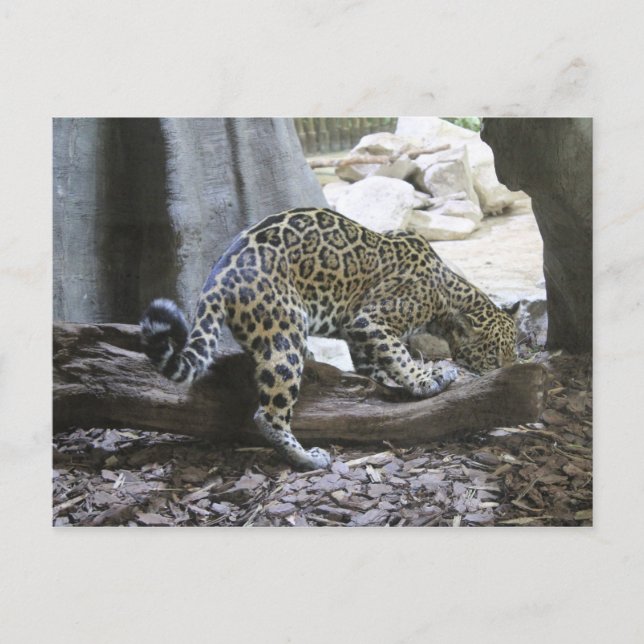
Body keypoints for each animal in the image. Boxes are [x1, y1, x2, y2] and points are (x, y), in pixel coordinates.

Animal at [141, 207, 518, 471]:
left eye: (514, 353)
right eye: (492, 357)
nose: (508, 371)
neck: (446, 293)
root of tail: (217, 277)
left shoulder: (357, 330)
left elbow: (373, 363)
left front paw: (388, 381)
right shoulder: (371, 319)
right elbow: (398, 354)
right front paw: (426, 380)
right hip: (285, 332)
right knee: (268, 413)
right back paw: (307, 459)